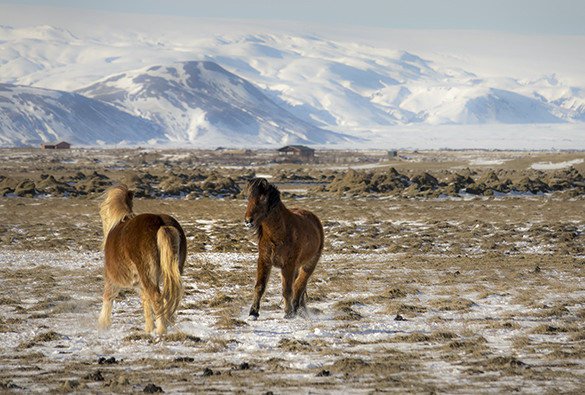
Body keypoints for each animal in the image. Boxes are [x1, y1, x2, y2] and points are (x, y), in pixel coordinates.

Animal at [97, 184, 186, 336]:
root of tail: (161, 223)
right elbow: (145, 302)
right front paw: (148, 328)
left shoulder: (111, 277)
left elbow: (108, 297)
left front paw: (103, 325)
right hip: (171, 272)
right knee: (167, 297)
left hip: (148, 275)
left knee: (157, 298)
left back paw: (161, 331)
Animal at [243, 178, 324, 320]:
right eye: (248, 197)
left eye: (262, 197)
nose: (248, 221)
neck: (278, 234)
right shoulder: (264, 261)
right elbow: (260, 286)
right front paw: (253, 313)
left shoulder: (288, 265)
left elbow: (287, 290)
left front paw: (288, 313)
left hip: (309, 264)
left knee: (299, 286)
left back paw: (296, 309)